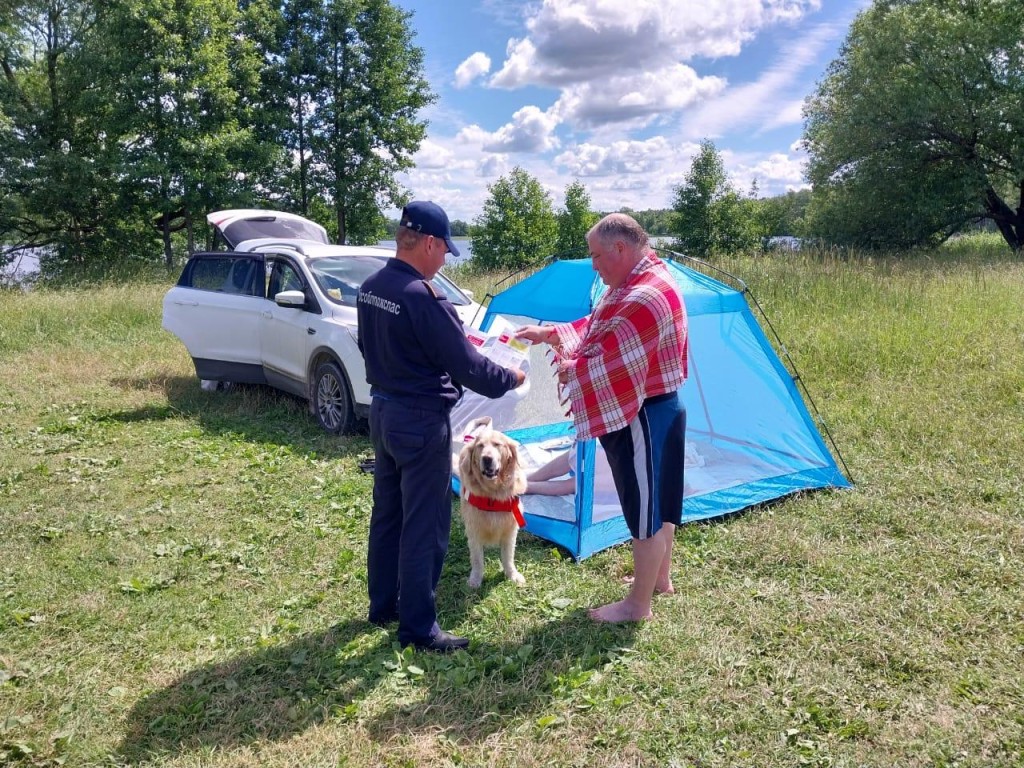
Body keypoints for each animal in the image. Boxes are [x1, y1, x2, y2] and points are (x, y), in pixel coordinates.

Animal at [462, 417, 532, 585]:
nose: (487, 458)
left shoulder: (511, 530)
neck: (493, 494)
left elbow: (508, 557)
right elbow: (477, 560)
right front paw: (475, 580)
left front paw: (512, 575)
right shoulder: (474, 531)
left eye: (497, 444)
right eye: (480, 446)